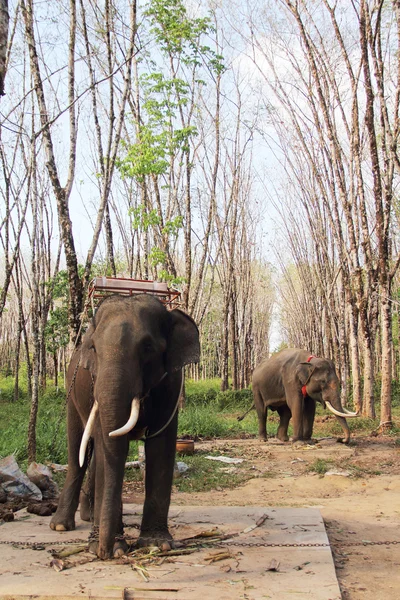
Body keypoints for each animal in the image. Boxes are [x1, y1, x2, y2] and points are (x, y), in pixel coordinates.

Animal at [50, 292, 200, 560]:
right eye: (94, 348)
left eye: (148, 348)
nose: (105, 553)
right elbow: (105, 444)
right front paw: (112, 546)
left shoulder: (170, 384)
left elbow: (161, 447)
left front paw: (156, 544)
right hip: (71, 391)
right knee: (78, 450)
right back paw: (61, 525)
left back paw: (89, 516)